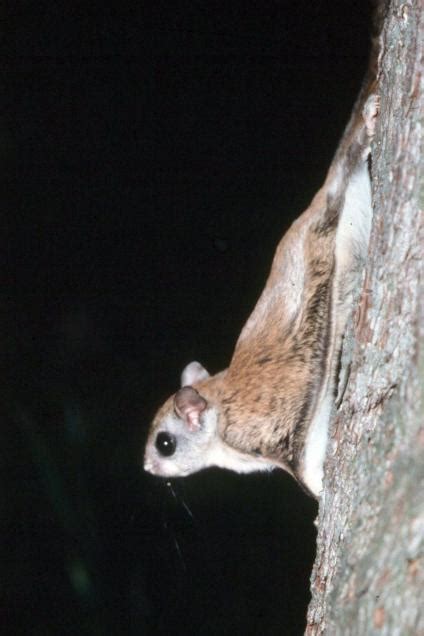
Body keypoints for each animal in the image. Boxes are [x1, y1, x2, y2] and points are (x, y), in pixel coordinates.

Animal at [143, 51, 380, 496]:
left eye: (164, 443)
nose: (147, 468)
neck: (218, 417)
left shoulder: (271, 435)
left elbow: (304, 471)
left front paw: (319, 494)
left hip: (329, 220)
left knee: (345, 170)